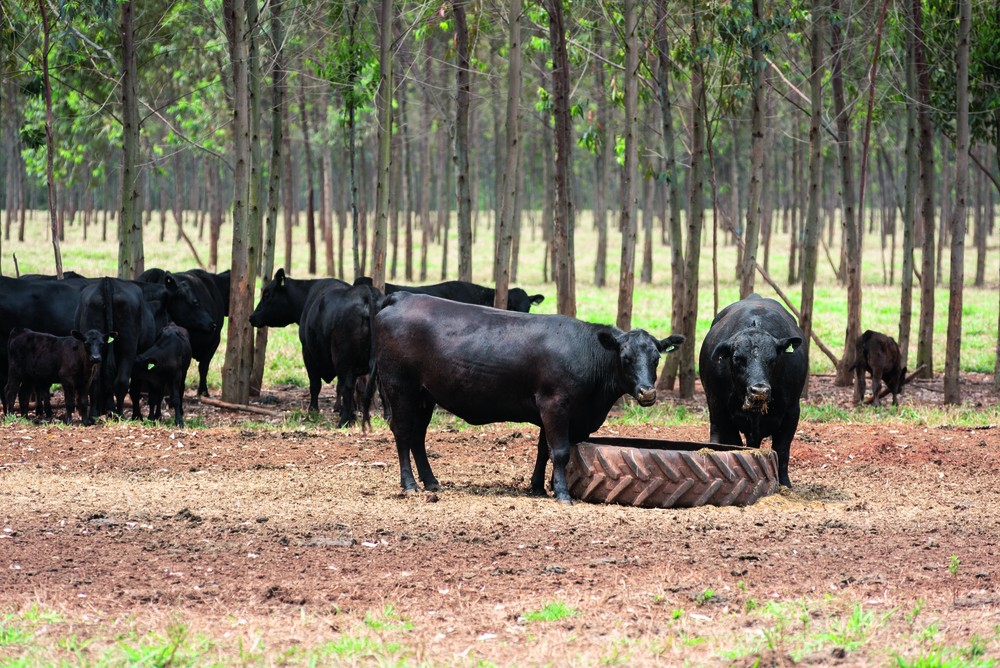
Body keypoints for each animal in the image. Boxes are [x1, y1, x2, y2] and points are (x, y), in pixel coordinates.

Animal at [296, 284, 382, 428]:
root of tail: (365, 291)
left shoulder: (307, 353)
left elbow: (315, 384)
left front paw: (313, 410)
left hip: (343, 360)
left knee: (347, 387)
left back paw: (344, 421)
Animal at [376, 294, 688, 504]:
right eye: (625, 358)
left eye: (656, 358)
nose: (647, 392)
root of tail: (402, 297)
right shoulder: (555, 404)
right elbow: (560, 451)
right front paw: (562, 493)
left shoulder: (556, 412)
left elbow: (544, 450)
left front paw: (539, 487)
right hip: (400, 388)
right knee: (403, 433)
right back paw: (409, 484)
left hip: (424, 396)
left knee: (418, 437)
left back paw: (431, 482)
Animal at [700, 294, 808, 488]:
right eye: (737, 358)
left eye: (773, 358)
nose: (759, 390)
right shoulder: (722, 411)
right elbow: (735, 444)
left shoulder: (792, 412)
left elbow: (782, 450)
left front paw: (784, 483)